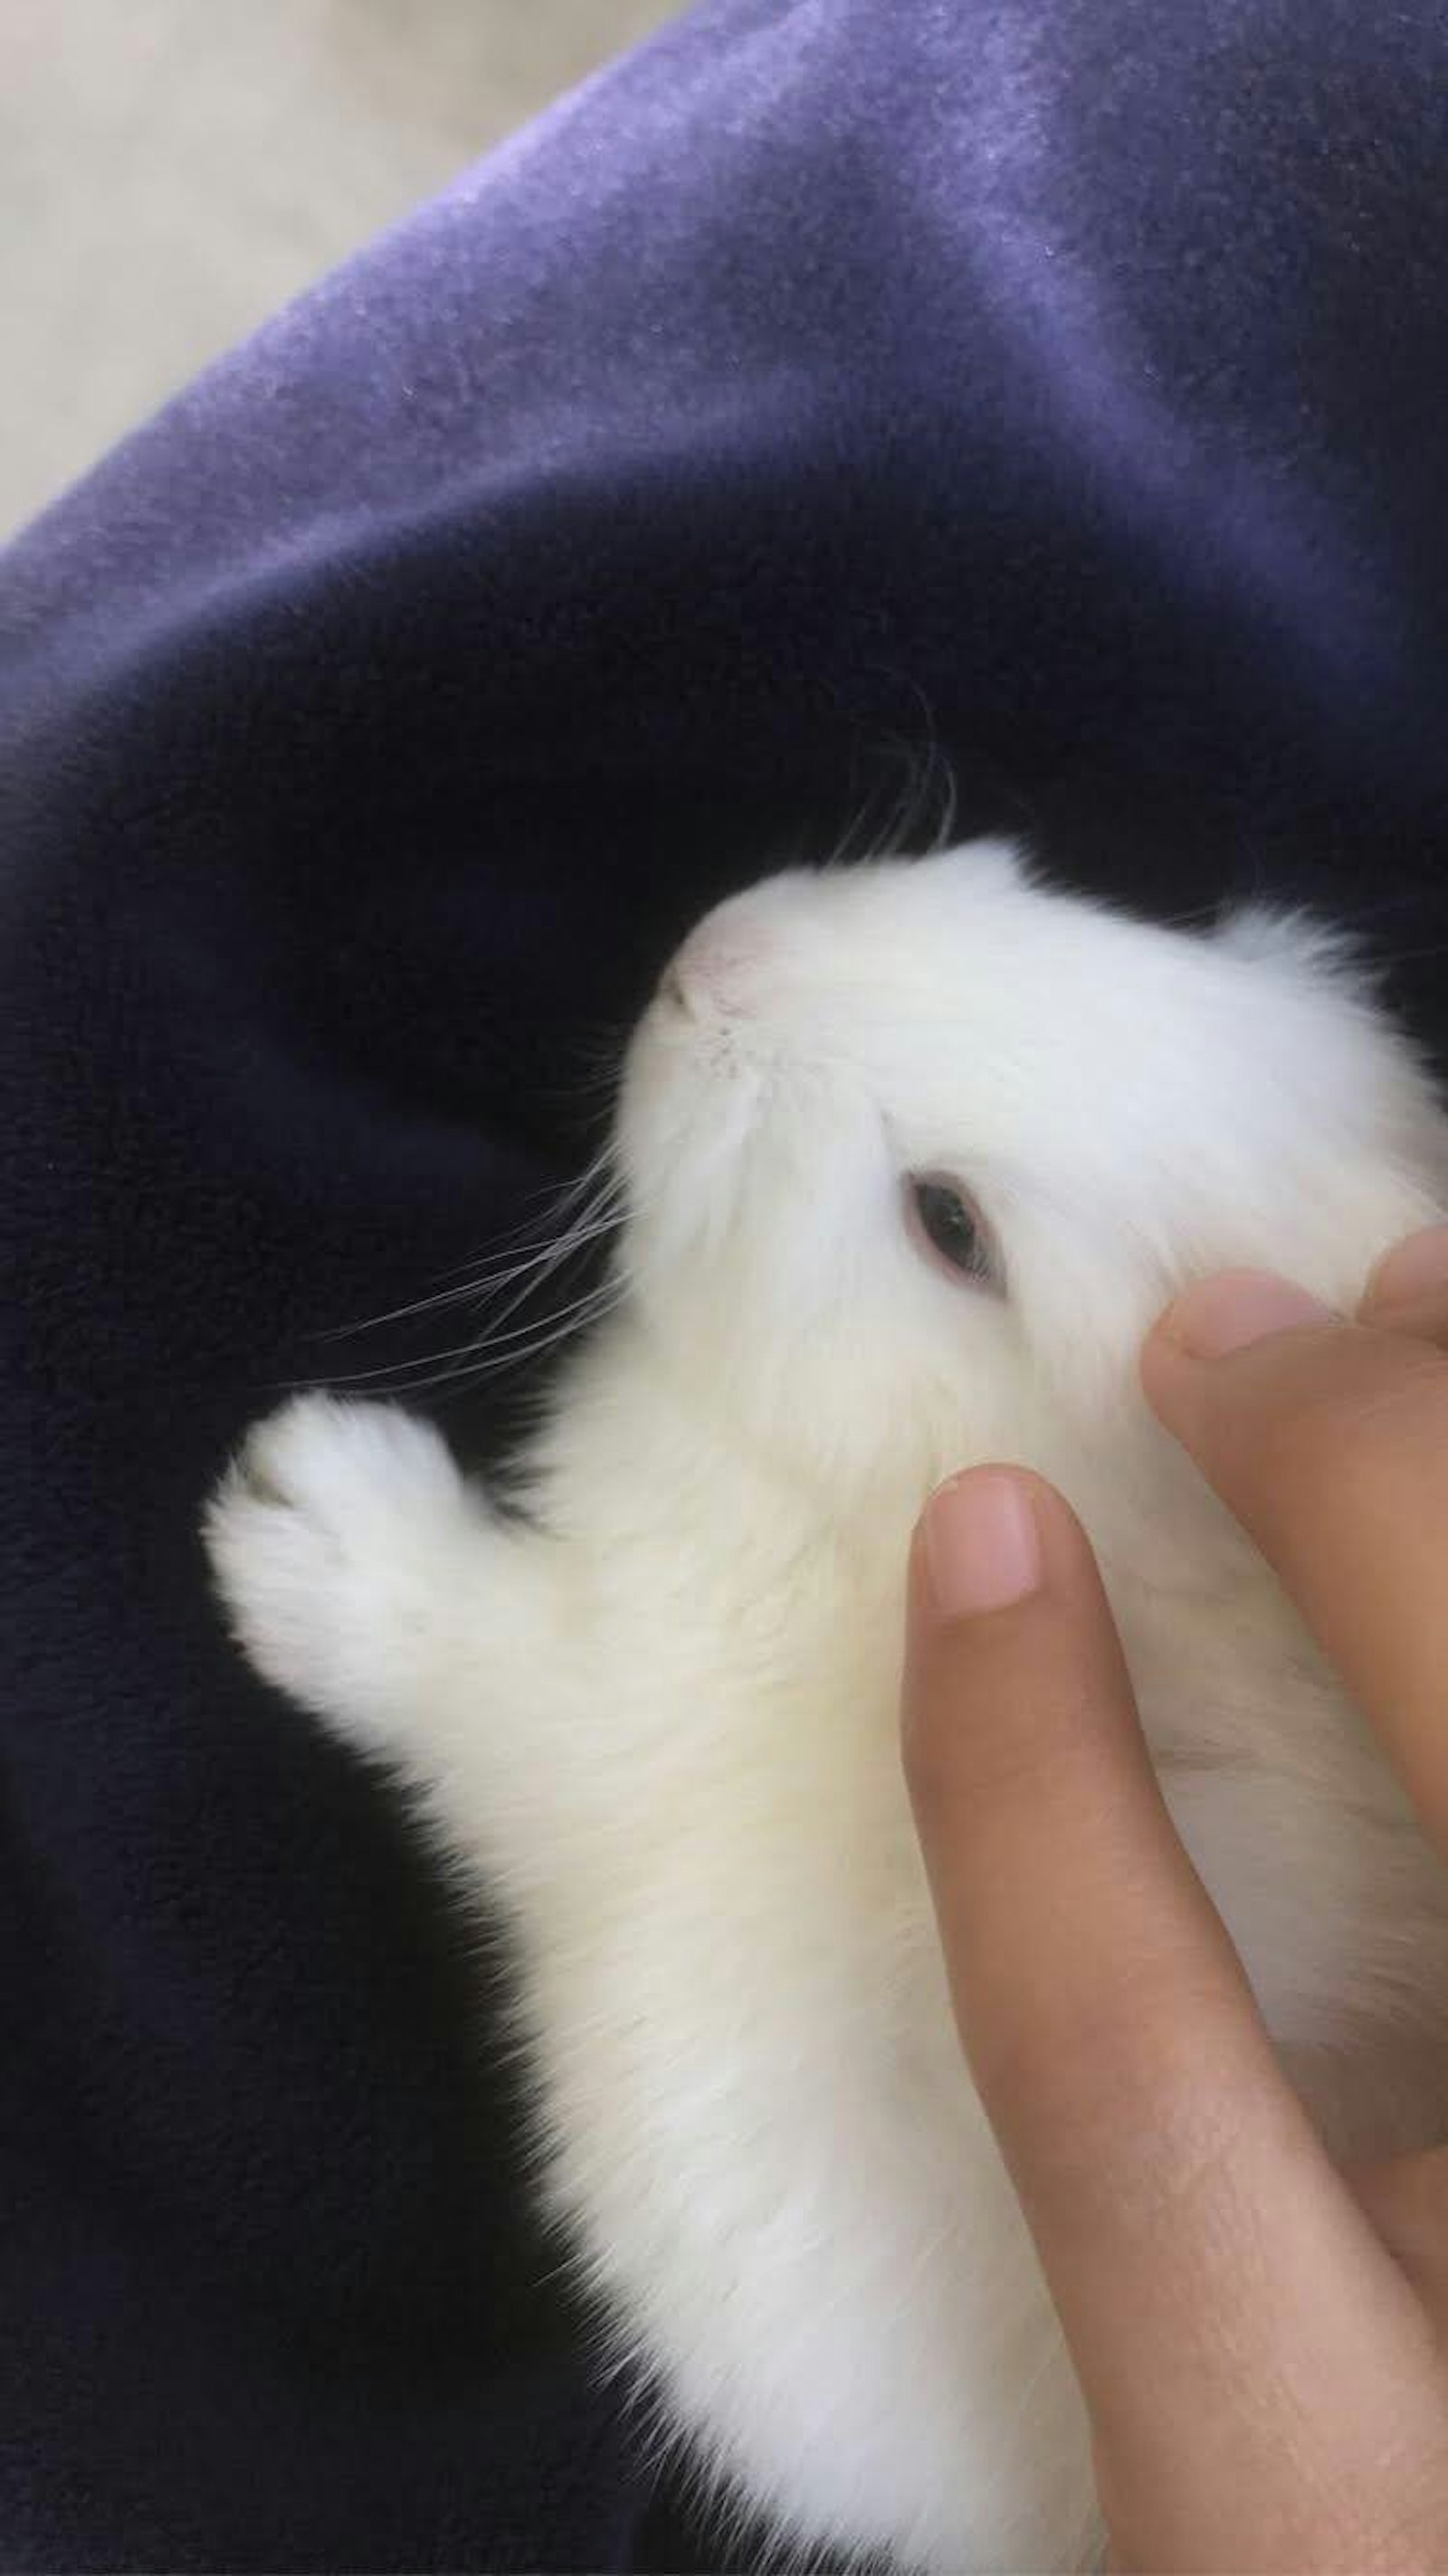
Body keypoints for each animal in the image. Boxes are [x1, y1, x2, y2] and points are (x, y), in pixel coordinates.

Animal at [205, 840, 1448, 2572]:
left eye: (951, 1226)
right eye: (1072, 902)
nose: (713, 963)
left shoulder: (616, 1696)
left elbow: (466, 1663)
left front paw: (298, 1510)